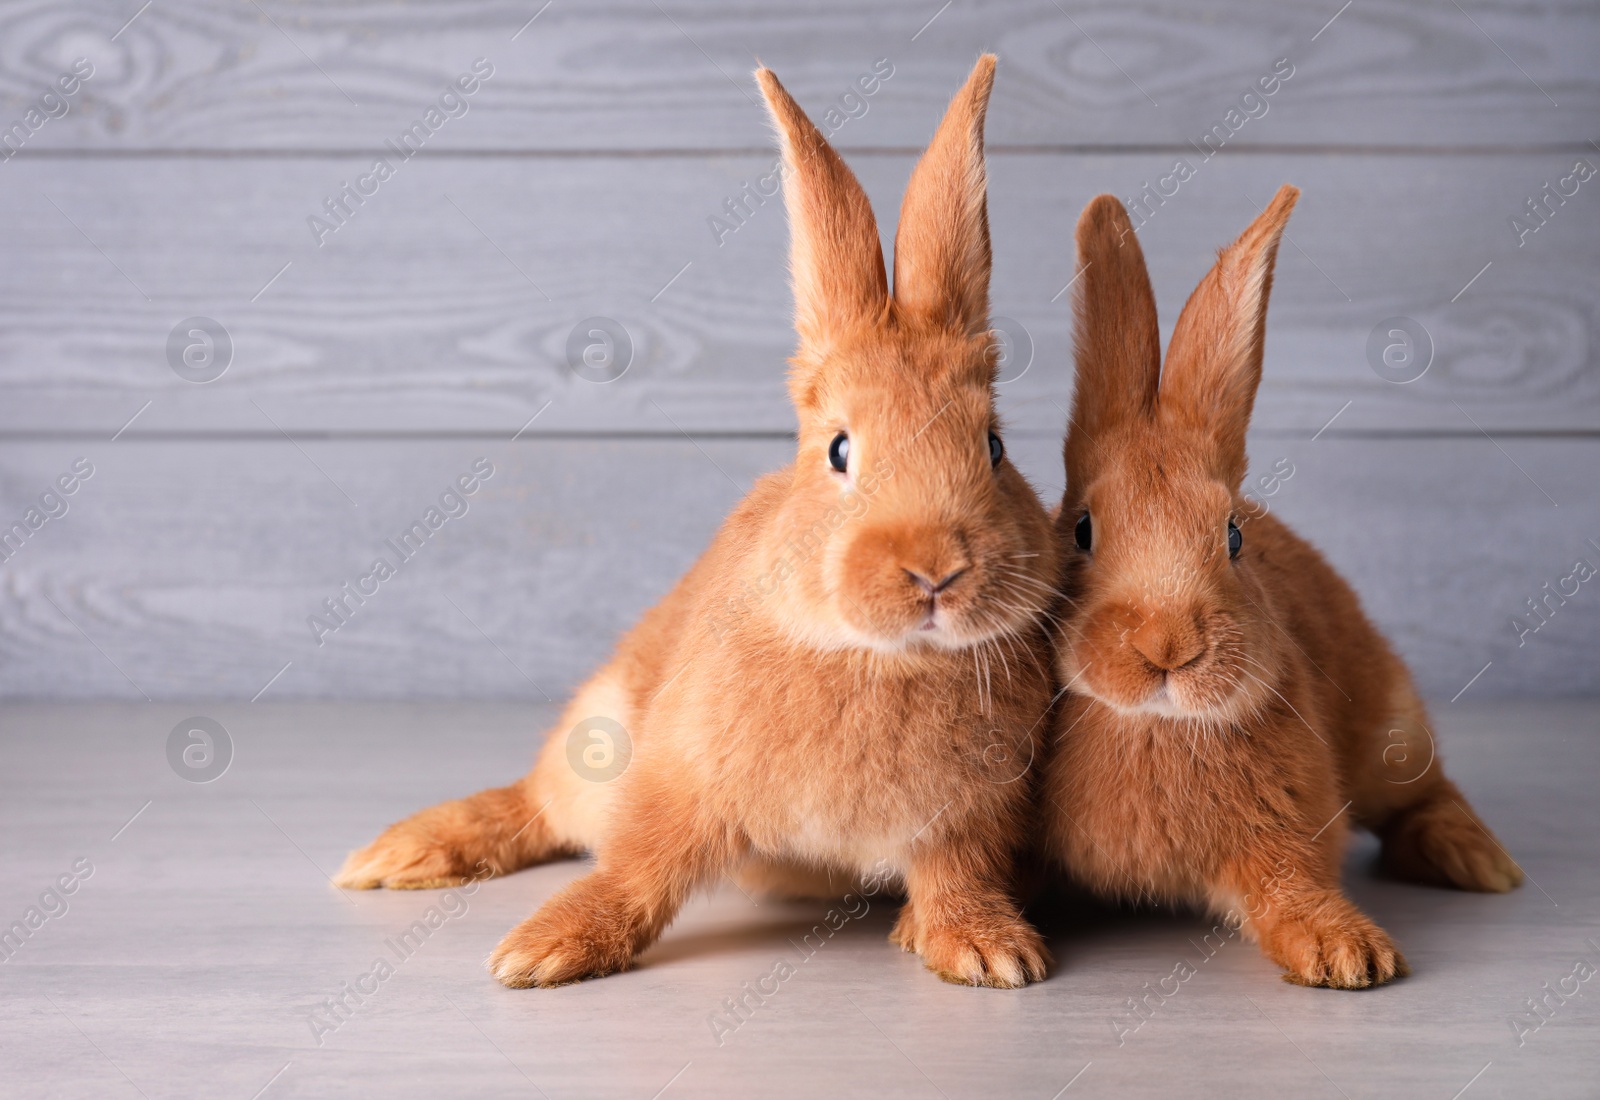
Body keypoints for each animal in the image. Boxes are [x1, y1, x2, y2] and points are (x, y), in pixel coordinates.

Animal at [332, 57, 1068, 991]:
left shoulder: (969, 822)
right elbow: (637, 868)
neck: (882, 657)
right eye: (838, 450)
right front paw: (544, 950)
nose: (934, 568)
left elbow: (956, 877)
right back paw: (405, 854)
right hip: (598, 731)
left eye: (995, 447)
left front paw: (987, 950)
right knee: (537, 807)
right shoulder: (680, 780)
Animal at [1036, 184, 1523, 991]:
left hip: (1390, 735)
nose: (1169, 645)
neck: (1156, 724)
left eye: (1233, 536)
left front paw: (1349, 955)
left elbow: (1293, 886)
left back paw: (1478, 860)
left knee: (1423, 795)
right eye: (1080, 530)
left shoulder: (1288, 834)